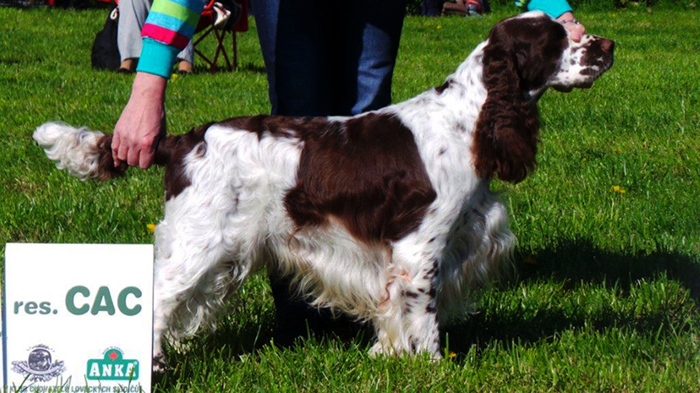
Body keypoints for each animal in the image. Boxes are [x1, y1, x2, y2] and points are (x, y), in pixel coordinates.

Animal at [32, 13, 612, 358]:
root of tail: (182, 140)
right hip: (200, 242)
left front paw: (387, 356)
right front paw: (431, 366)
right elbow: (423, 313)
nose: (607, 44)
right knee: (156, 301)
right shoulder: (420, 247)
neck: (469, 119)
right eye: (557, 40)